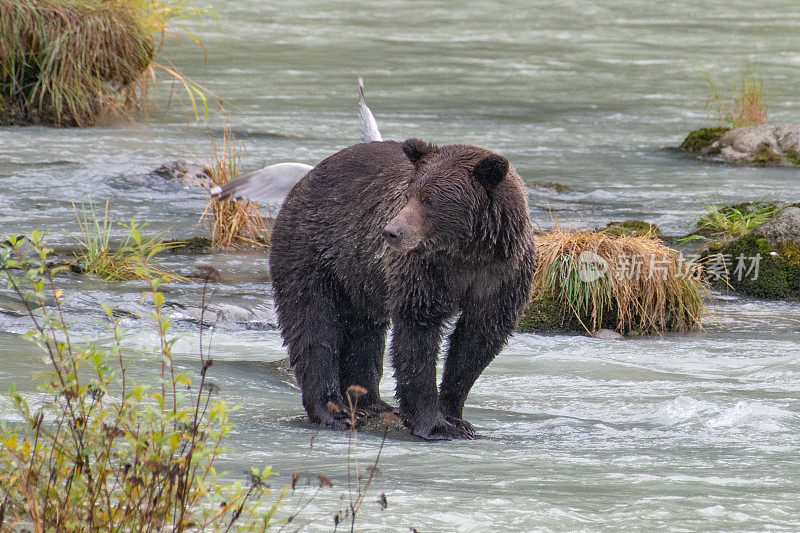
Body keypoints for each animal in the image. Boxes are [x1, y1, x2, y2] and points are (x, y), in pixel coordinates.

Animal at [268, 138, 536, 440]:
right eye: (410, 196)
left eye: (430, 200)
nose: (391, 231)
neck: (466, 254)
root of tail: (307, 177)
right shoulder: (423, 272)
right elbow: (417, 335)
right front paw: (434, 424)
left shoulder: (500, 277)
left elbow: (477, 341)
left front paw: (456, 418)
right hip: (312, 248)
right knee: (312, 323)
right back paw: (334, 411)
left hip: (360, 277)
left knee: (364, 331)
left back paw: (370, 403)